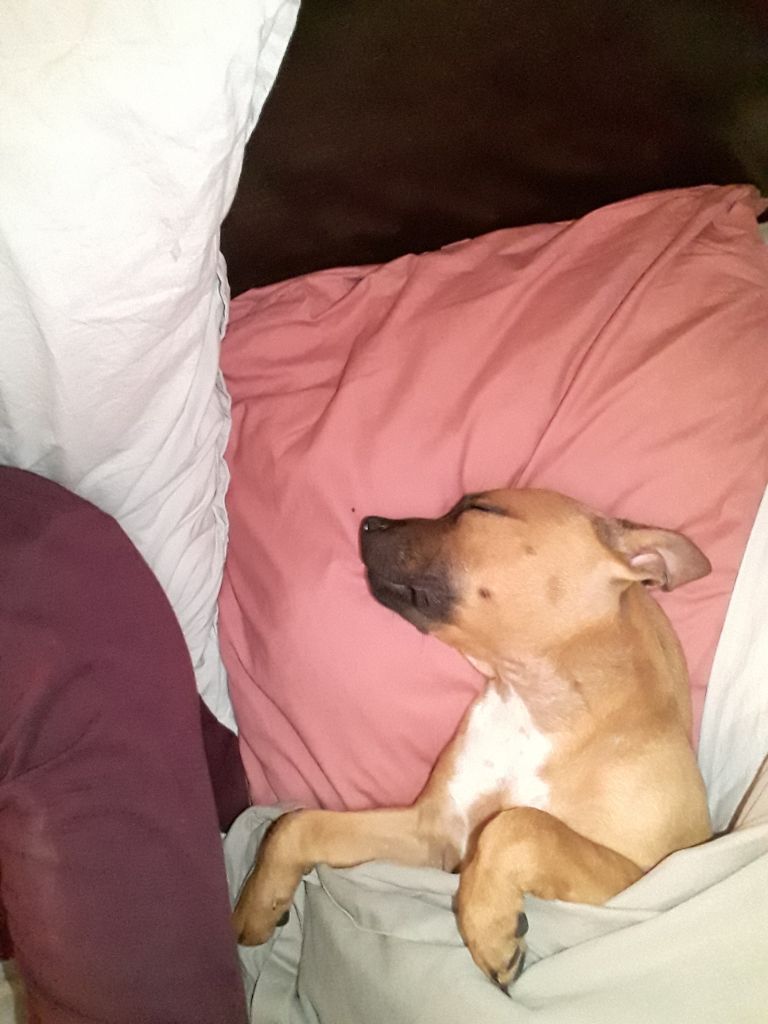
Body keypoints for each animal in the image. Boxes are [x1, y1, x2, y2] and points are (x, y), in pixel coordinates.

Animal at [234, 488, 712, 988]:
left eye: (481, 510)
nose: (368, 522)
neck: (529, 704)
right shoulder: (433, 833)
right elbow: (295, 826)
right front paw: (257, 903)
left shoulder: (643, 878)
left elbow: (518, 826)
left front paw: (489, 927)